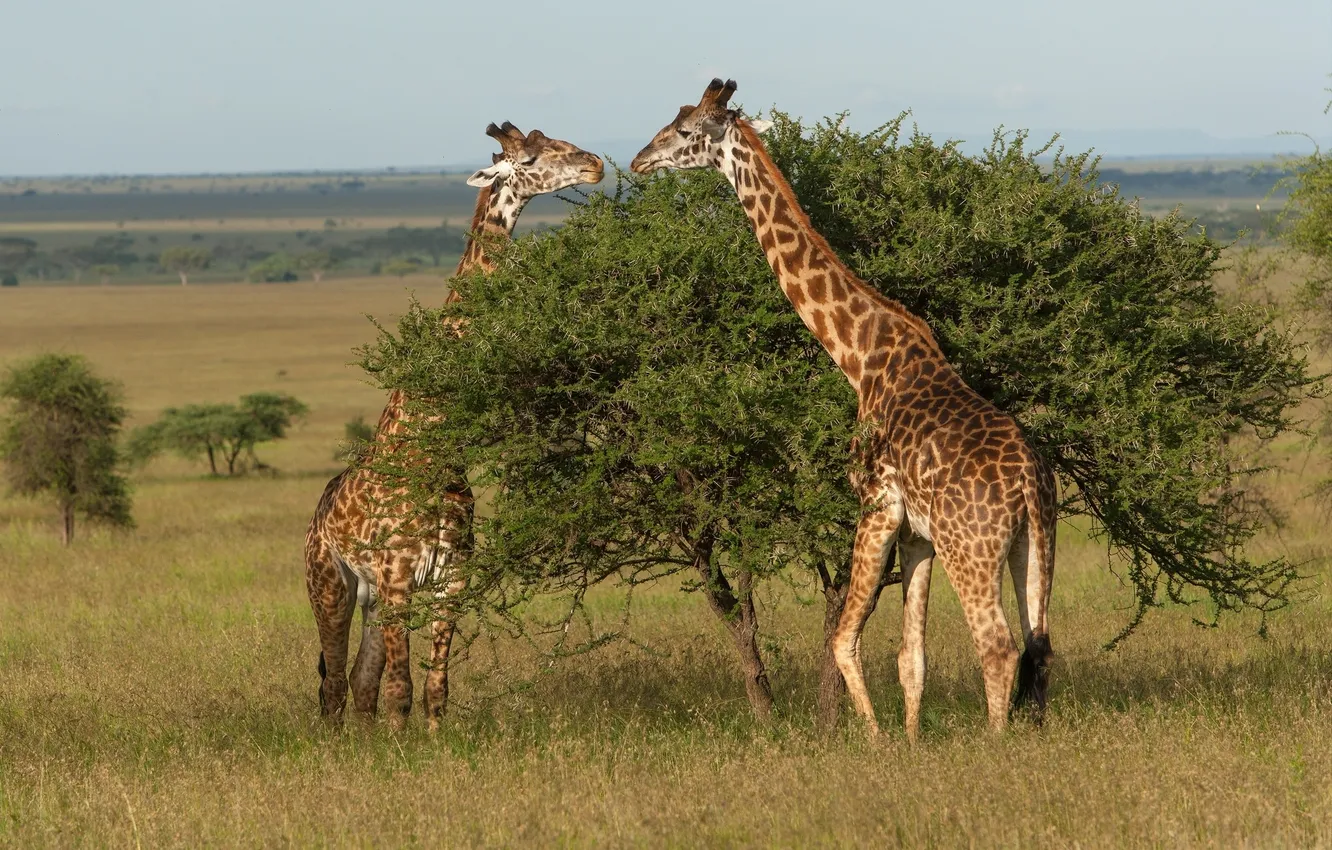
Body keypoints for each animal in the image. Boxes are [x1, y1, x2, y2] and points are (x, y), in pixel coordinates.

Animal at [306, 122, 603, 732]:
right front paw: (404, 749)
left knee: (359, 682)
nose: (596, 165)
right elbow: (401, 686)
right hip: (329, 585)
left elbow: (434, 686)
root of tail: (315, 518)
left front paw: (435, 743)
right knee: (334, 686)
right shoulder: (398, 576)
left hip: (370, 595)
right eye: (531, 157)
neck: (433, 443)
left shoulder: (451, 577)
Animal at [631, 80, 1057, 741]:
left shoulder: (875, 504)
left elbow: (843, 639)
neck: (859, 357)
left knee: (998, 645)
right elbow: (912, 656)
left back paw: (996, 746)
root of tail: (1030, 483)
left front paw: (878, 742)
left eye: (683, 131)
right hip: (1034, 545)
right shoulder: (917, 533)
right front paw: (910, 744)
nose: (637, 160)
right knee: (1039, 645)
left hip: (972, 547)